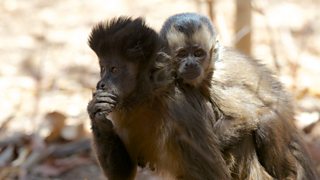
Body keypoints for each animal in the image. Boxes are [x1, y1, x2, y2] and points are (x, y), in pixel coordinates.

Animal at [86, 16, 230, 179]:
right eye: (103, 68)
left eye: (114, 69)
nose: (101, 84)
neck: (150, 96)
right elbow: (123, 174)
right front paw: (96, 113)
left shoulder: (180, 112)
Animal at [160, 11, 318, 179]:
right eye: (182, 54)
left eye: (198, 54)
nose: (190, 64)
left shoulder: (214, 81)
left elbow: (243, 117)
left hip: (283, 114)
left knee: (267, 122)